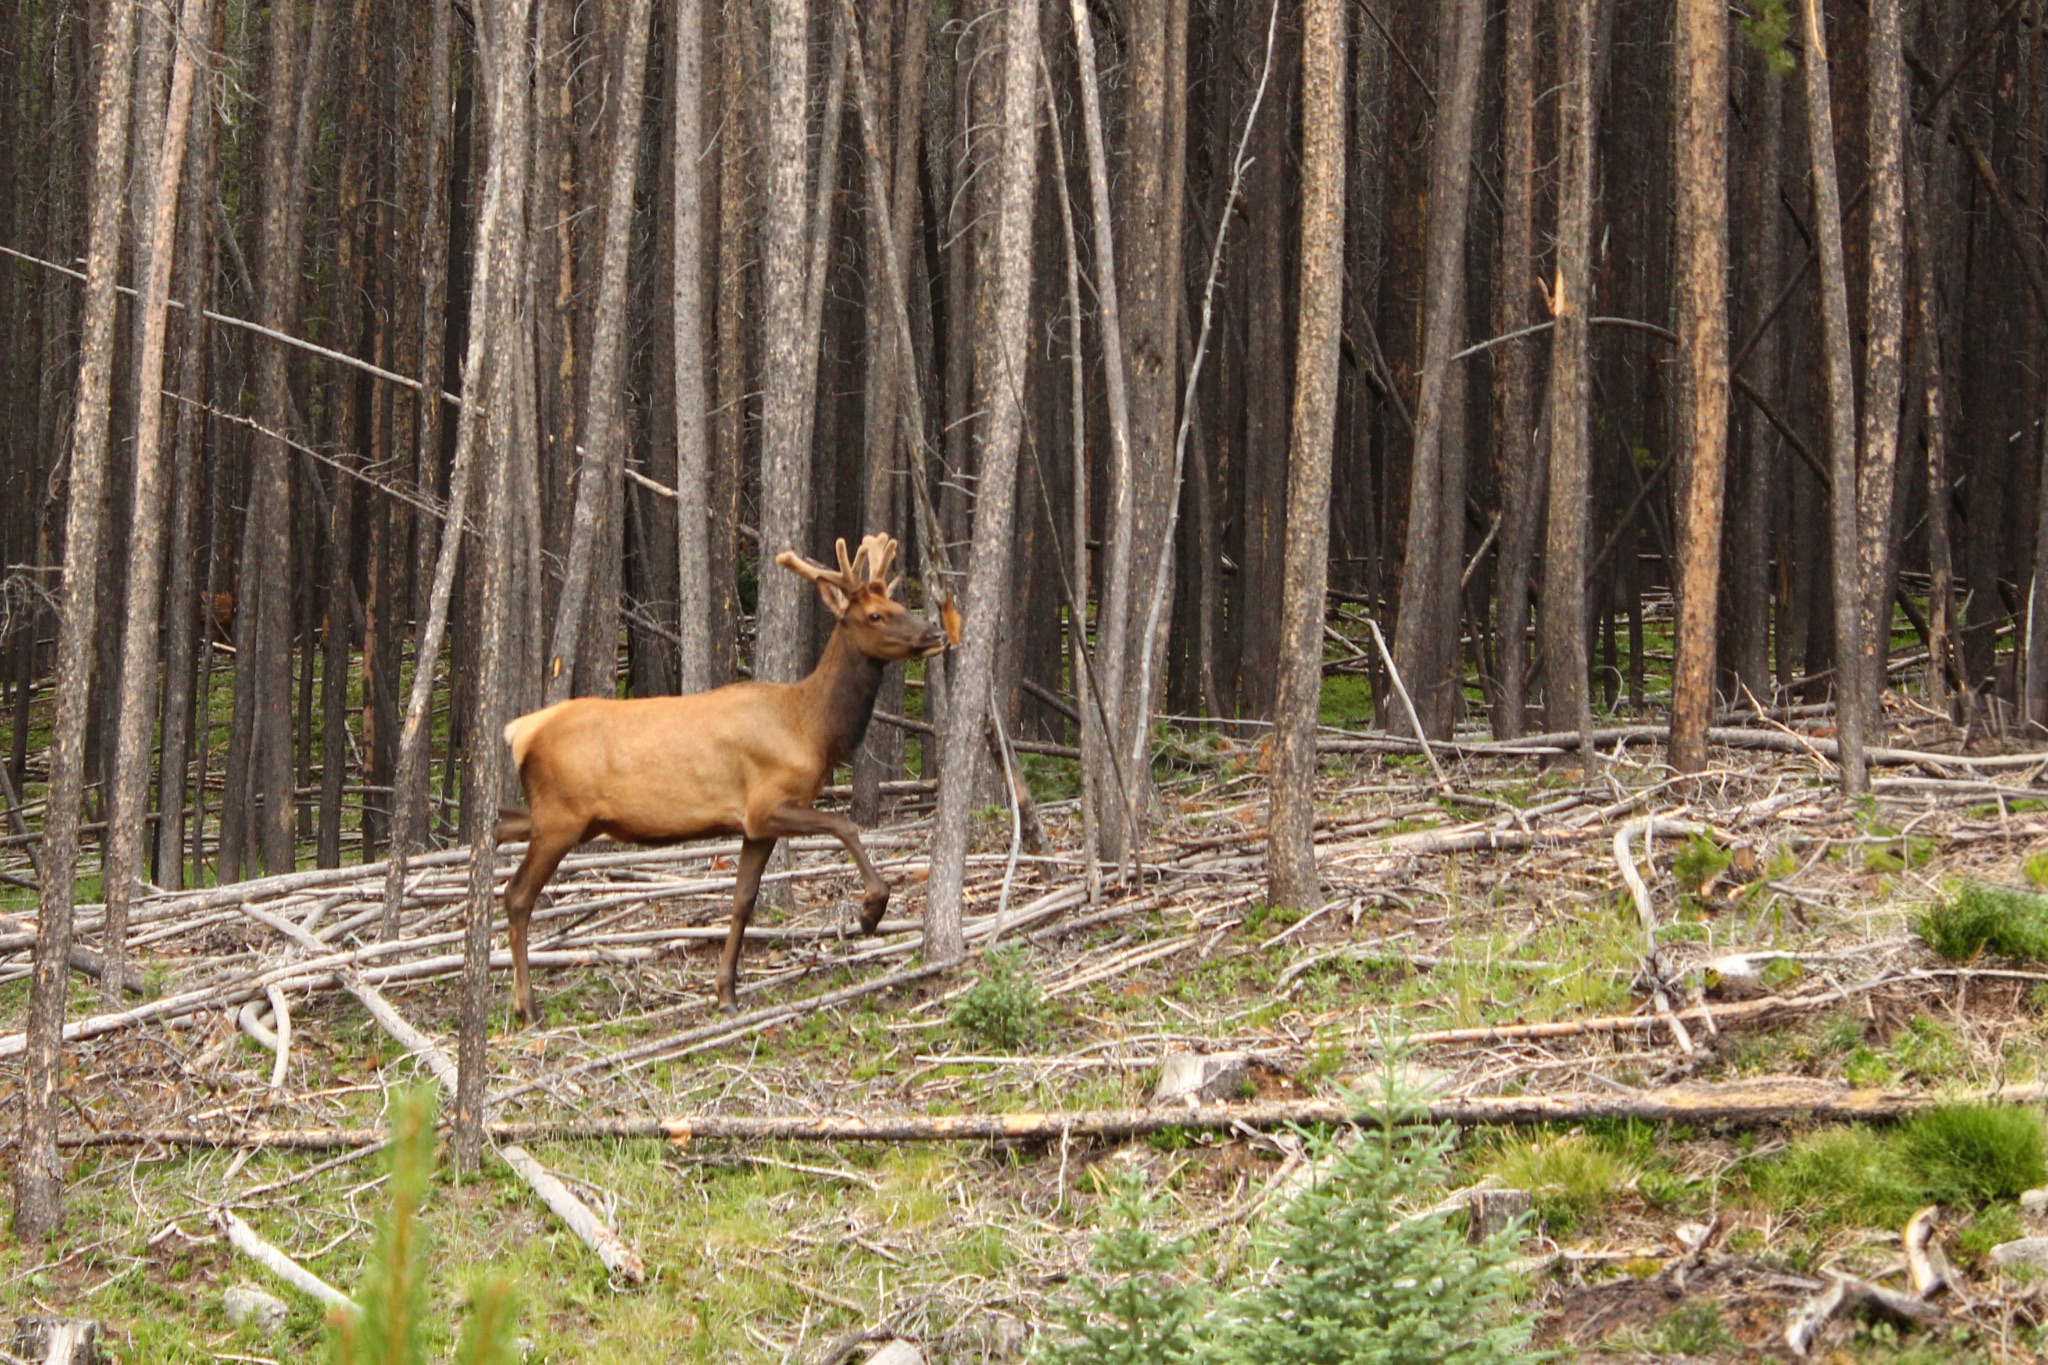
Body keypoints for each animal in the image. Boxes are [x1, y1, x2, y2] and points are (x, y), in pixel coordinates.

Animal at [493, 533, 950, 1023]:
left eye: (898, 603)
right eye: (875, 615)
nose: (937, 634)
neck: (812, 728)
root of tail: (520, 732)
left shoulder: (755, 826)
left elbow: (742, 901)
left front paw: (725, 991)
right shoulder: (768, 803)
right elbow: (845, 824)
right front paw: (870, 910)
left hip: (558, 816)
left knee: (499, 831)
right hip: (561, 817)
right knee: (517, 894)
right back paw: (526, 1004)